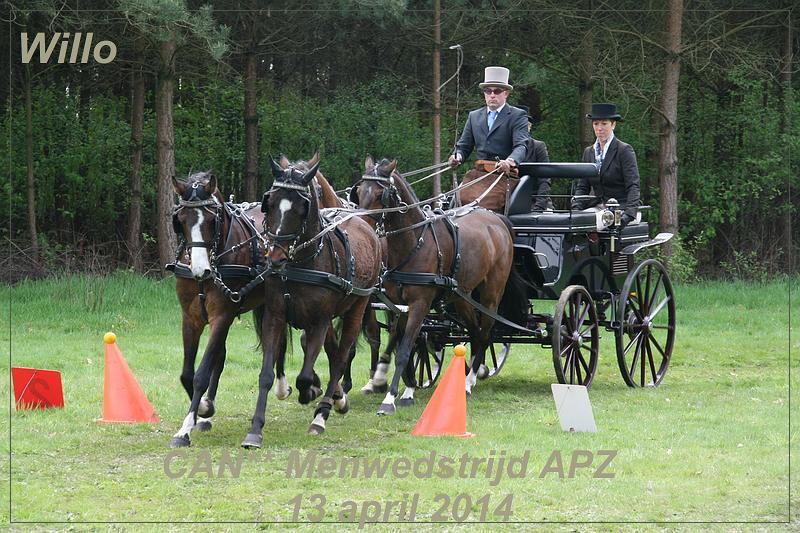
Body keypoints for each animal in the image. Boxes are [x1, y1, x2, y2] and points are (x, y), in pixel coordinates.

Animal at [167, 152, 342, 446]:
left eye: (212, 220)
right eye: (181, 219)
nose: (200, 270)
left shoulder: (222, 315)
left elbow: (201, 373)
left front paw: (186, 428)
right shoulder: (190, 317)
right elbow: (188, 373)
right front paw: (202, 410)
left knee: (326, 345)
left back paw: (331, 393)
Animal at [241, 156, 382, 446]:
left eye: (301, 207)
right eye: (270, 202)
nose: (275, 258)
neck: (301, 263)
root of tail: (363, 222)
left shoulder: (319, 321)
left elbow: (306, 375)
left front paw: (312, 395)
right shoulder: (275, 317)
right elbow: (266, 374)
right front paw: (255, 429)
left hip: (358, 308)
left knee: (342, 354)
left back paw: (324, 411)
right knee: (333, 351)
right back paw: (336, 396)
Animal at [352, 156, 524, 414]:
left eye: (382, 193)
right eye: (361, 190)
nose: (361, 226)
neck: (415, 243)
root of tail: (497, 220)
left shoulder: (420, 304)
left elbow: (405, 348)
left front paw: (390, 399)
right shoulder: (399, 305)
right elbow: (401, 342)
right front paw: (402, 386)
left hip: (491, 294)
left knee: (485, 333)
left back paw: (469, 382)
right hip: (462, 296)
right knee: (475, 331)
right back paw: (469, 374)